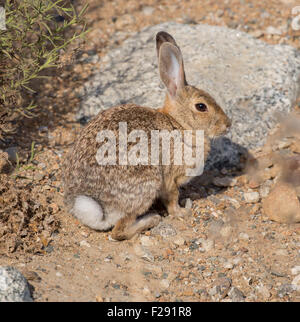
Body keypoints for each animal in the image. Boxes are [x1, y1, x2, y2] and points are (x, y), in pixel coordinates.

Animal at [62, 31, 232, 240]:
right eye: (201, 107)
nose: (227, 125)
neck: (179, 124)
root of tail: (96, 207)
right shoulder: (170, 178)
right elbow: (172, 199)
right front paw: (183, 212)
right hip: (147, 182)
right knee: (119, 231)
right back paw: (151, 219)